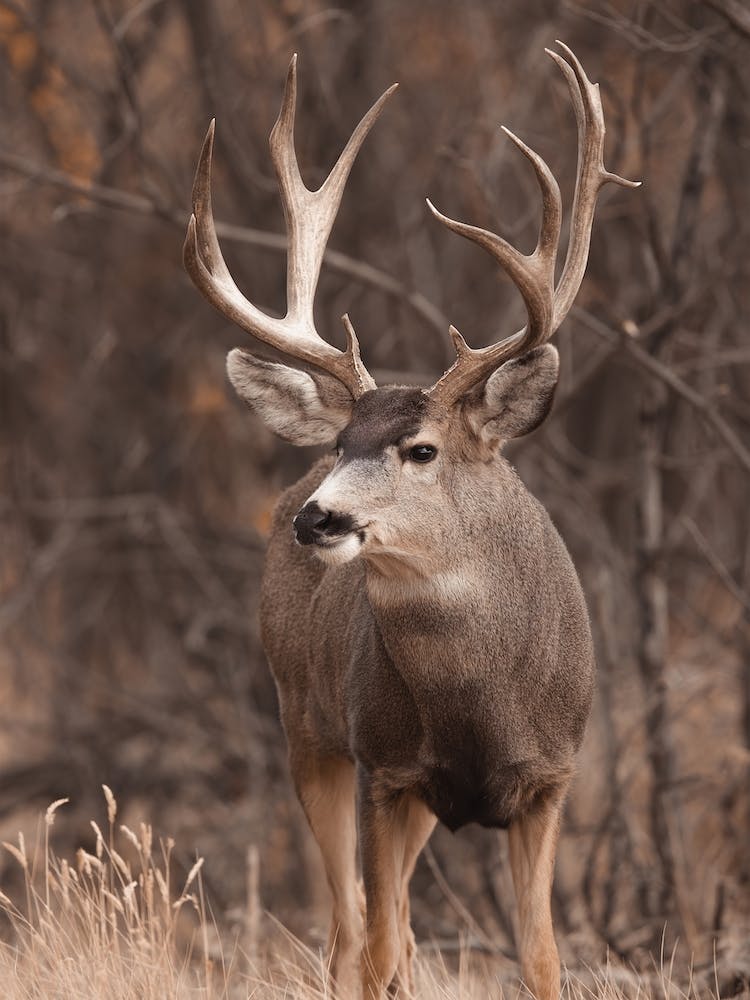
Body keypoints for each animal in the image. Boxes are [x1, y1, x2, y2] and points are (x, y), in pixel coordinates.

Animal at [184, 42, 637, 1000]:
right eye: (345, 440)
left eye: (421, 449)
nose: (317, 518)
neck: (479, 700)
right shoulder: (383, 770)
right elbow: (377, 947)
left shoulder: (550, 779)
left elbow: (542, 961)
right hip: (306, 725)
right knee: (350, 931)